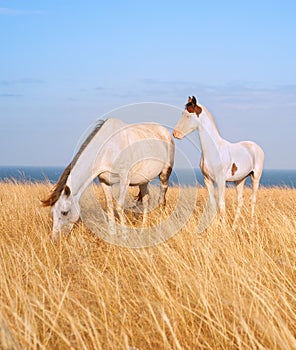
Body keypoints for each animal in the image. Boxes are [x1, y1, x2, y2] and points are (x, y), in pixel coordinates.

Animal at [42, 117, 175, 238]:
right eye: (52, 212)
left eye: (64, 212)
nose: (55, 239)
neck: (107, 149)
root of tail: (165, 132)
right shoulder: (104, 181)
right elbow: (110, 207)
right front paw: (112, 235)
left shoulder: (124, 178)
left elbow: (119, 206)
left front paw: (125, 236)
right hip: (143, 180)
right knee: (146, 201)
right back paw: (142, 231)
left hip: (164, 174)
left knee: (161, 200)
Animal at [172, 95, 264, 227]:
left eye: (188, 115)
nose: (175, 134)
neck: (214, 149)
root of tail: (255, 147)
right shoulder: (207, 180)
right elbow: (212, 204)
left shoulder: (221, 181)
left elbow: (221, 204)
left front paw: (223, 227)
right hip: (240, 180)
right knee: (240, 201)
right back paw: (234, 226)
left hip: (255, 177)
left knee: (253, 200)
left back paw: (251, 225)